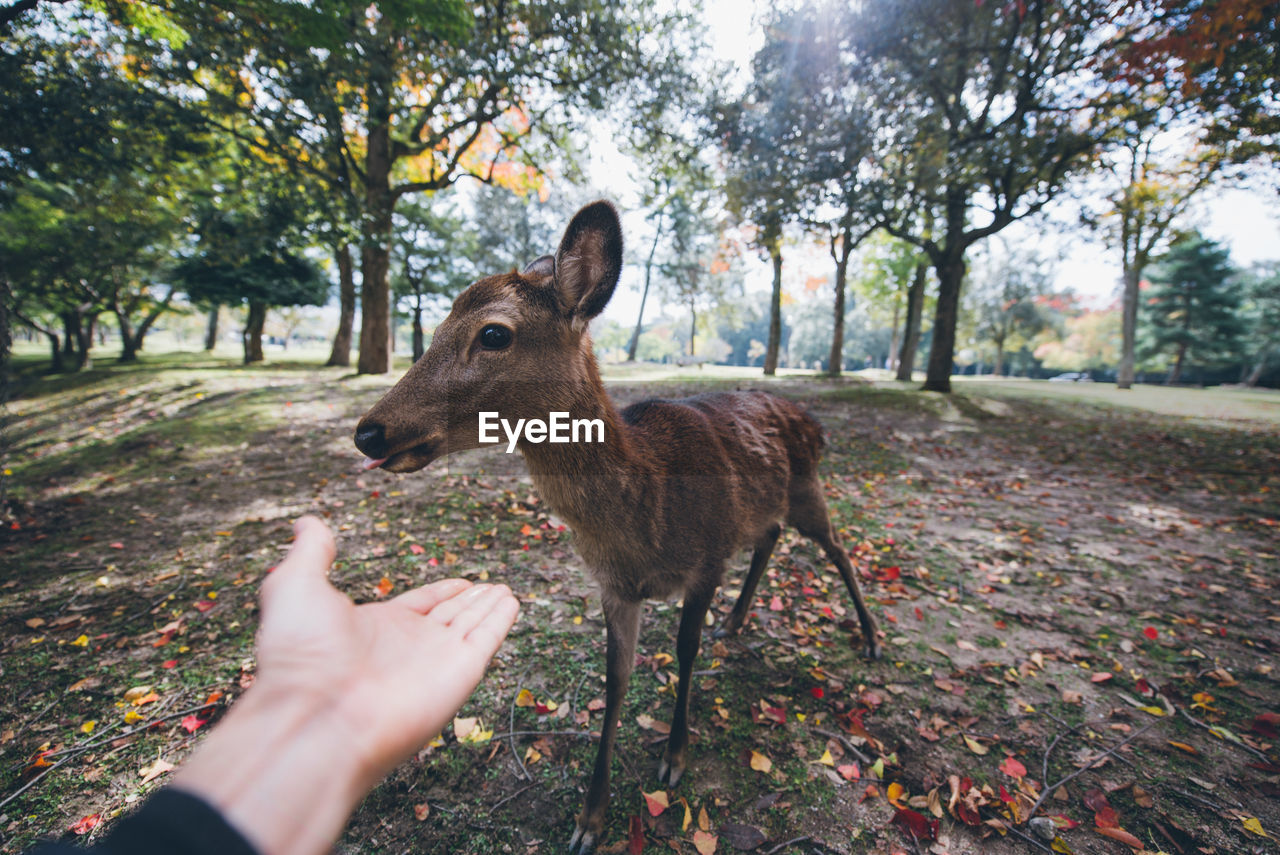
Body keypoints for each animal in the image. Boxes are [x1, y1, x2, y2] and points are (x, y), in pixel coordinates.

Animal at [355, 202, 885, 855]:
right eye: (433, 329)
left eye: (495, 333)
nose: (368, 432)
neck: (646, 519)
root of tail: (811, 419)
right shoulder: (612, 587)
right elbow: (616, 680)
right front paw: (590, 817)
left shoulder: (707, 559)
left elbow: (684, 652)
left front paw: (674, 759)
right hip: (769, 506)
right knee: (770, 536)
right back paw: (736, 622)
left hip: (809, 487)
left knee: (836, 549)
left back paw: (869, 637)